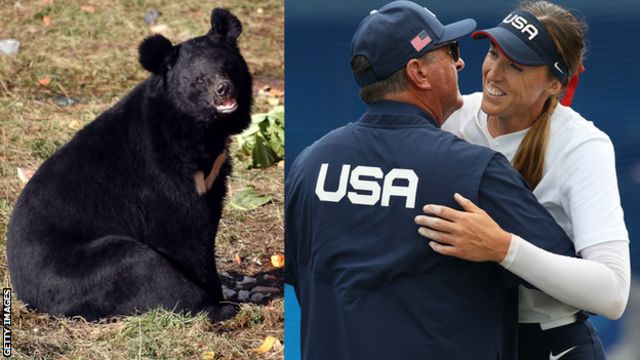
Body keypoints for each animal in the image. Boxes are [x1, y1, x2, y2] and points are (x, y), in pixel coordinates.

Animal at [8, 8, 252, 322]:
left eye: (228, 67)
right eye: (199, 80)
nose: (224, 90)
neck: (200, 128)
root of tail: (26, 293)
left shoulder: (213, 177)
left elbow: (207, 226)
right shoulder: (162, 176)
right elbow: (182, 232)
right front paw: (215, 301)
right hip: (91, 270)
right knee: (146, 269)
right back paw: (217, 309)